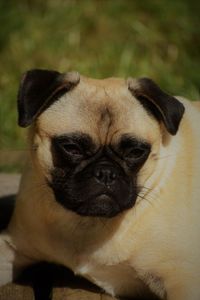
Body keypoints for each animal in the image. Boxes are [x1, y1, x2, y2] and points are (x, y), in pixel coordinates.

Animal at [0, 69, 200, 298]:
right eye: (71, 148)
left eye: (135, 152)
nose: (106, 173)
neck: (89, 223)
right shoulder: (13, 247)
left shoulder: (182, 278)